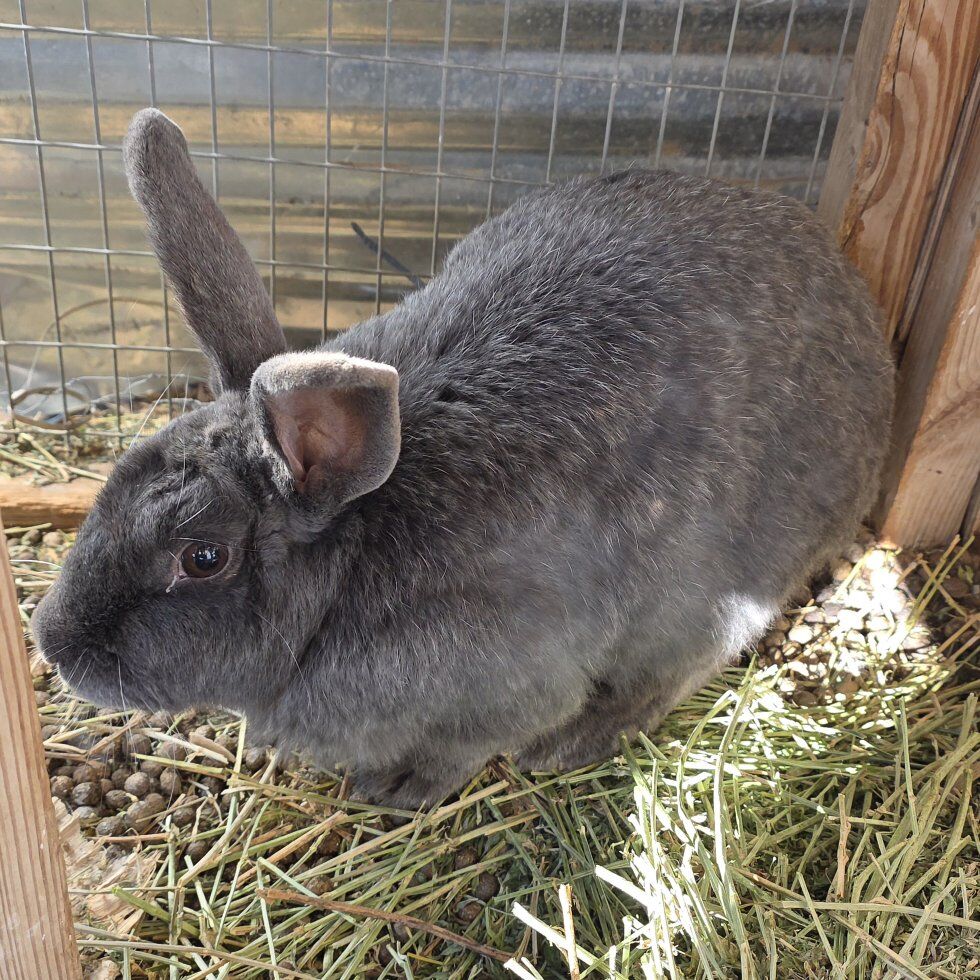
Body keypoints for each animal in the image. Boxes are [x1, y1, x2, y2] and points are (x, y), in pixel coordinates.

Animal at [32, 109, 893, 807]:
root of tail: (869, 349)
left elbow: (470, 744)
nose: (55, 644)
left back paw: (573, 744)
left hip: (705, 591)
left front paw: (400, 787)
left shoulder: (510, 685)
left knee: (687, 663)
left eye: (202, 558)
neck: (351, 554)